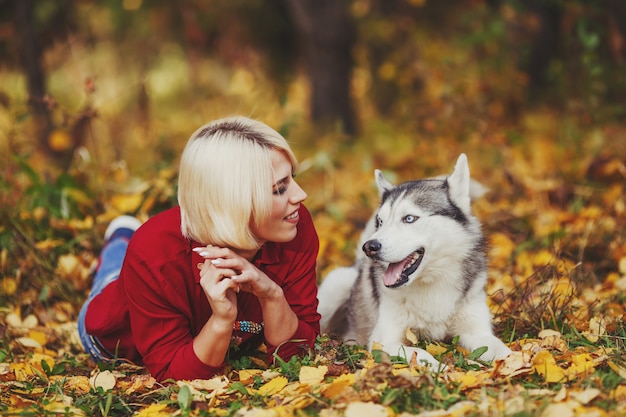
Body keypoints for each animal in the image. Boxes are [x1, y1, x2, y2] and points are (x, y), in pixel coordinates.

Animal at [320, 155, 510, 368]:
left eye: (409, 218)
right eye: (381, 222)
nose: (369, 246)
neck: (432, 282)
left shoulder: (477, 333)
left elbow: (505, 351)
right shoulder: (384, 341)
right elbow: (421, 353)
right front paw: (440, 368)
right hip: (337, 283)